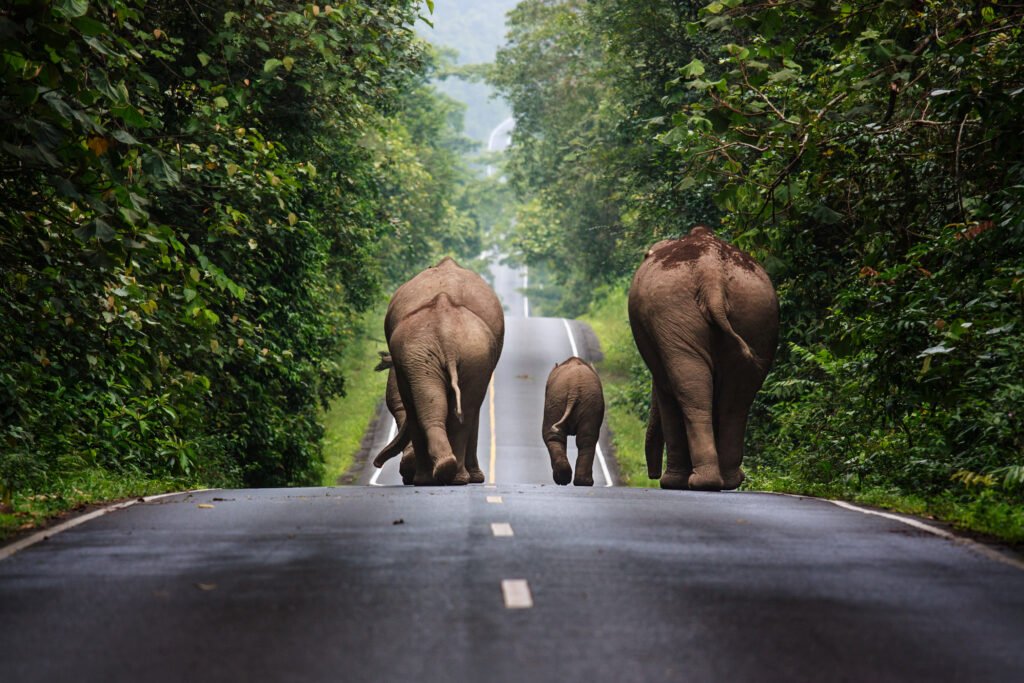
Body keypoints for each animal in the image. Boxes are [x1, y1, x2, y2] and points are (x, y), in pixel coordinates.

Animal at [542, 357, 605, 487]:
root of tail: (574, 390)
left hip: (559, 399)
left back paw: (570, 480)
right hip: (576, 401)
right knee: (585, 439)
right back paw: (577, 481)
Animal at [628, 225, 779, 491]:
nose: (652, 475)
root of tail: (712, 275)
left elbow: (665, 390)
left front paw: (671, 483)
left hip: (677, 310)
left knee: (692, 393)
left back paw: (698, 482)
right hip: (752, 312)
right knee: (735, 400)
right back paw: (726, 481)